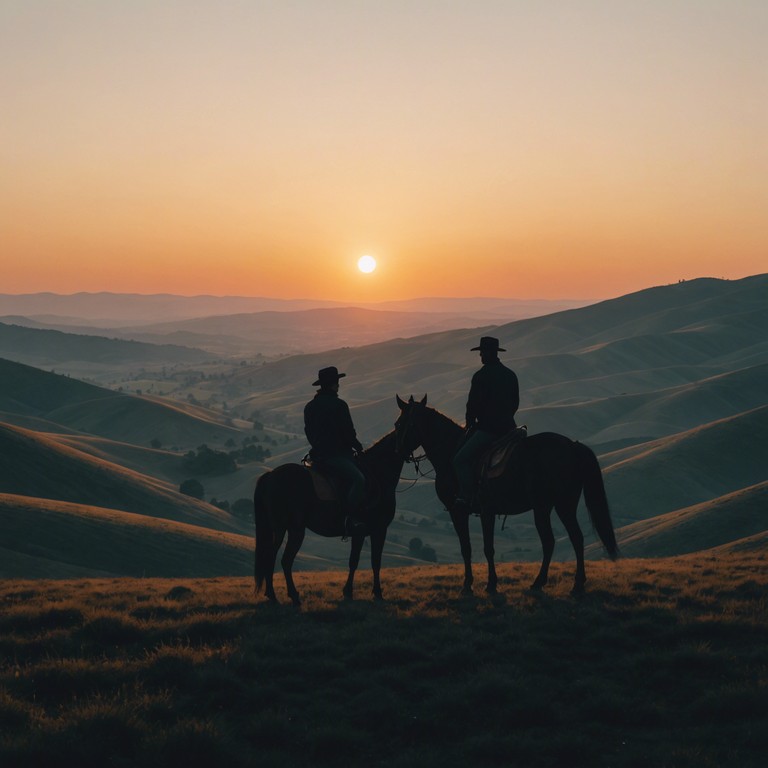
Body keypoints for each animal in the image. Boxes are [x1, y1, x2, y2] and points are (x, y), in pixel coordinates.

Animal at [252, 396, 420, 608]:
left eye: (408, 423)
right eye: (400, 424)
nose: (400, 449)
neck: (378, 471)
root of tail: (270, 476)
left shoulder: (360, 532)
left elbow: (354, 560)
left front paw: (348, 592)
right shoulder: (378, 529)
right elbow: (374, 561)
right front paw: (377, 592)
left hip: (279, 528)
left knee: (271, 556)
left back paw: (272, 594)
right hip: (293, 529)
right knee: (283, 559)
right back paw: (290, 595)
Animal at [396, 392, 616, 596]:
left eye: (398, 424)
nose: (398, 453)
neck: (450, 451)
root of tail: (572, 445)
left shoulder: (460, 511)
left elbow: (473, 548)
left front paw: (474, 585)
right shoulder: (487, 512)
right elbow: (484, 548)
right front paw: (486, 583)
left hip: (551, 506)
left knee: (554, 540)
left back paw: (546, 583)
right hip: (559, 505)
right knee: (574, 538)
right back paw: (572, 584)